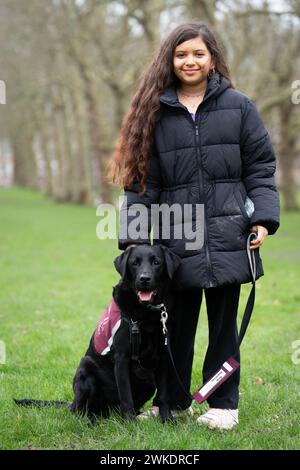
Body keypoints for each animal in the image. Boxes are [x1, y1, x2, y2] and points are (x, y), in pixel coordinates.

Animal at [15, 244, 180, 424]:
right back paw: (92, 421)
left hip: (148, 381)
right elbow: (126, 396)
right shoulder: (122, 358)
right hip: (86, 371)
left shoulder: (163, 355)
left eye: (156, 262)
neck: (145, 314)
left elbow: (163, 395)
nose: (144, 279)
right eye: (134, 263)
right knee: (82, 411)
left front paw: (167, 420)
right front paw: (130, 424)